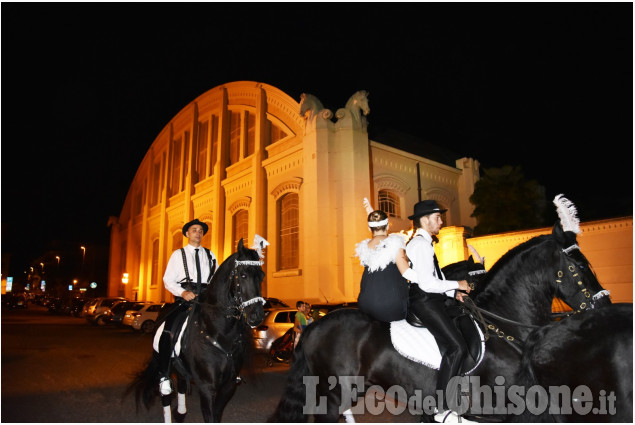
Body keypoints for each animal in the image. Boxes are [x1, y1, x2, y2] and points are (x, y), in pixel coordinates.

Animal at [129, 238, 266, 420]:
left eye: (262, 276)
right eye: (243, 274)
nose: (257, 316)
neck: (220, 333)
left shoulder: (227, 387)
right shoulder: (207, 388)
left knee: (181, 384)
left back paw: (180, 413)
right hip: (163, 366)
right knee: (166, 395)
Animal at [270, 222, 612, 420]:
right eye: (579, 267)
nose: (605, 305)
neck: (503, 327)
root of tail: (314, 325)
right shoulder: (507, 407)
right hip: (334, 393)